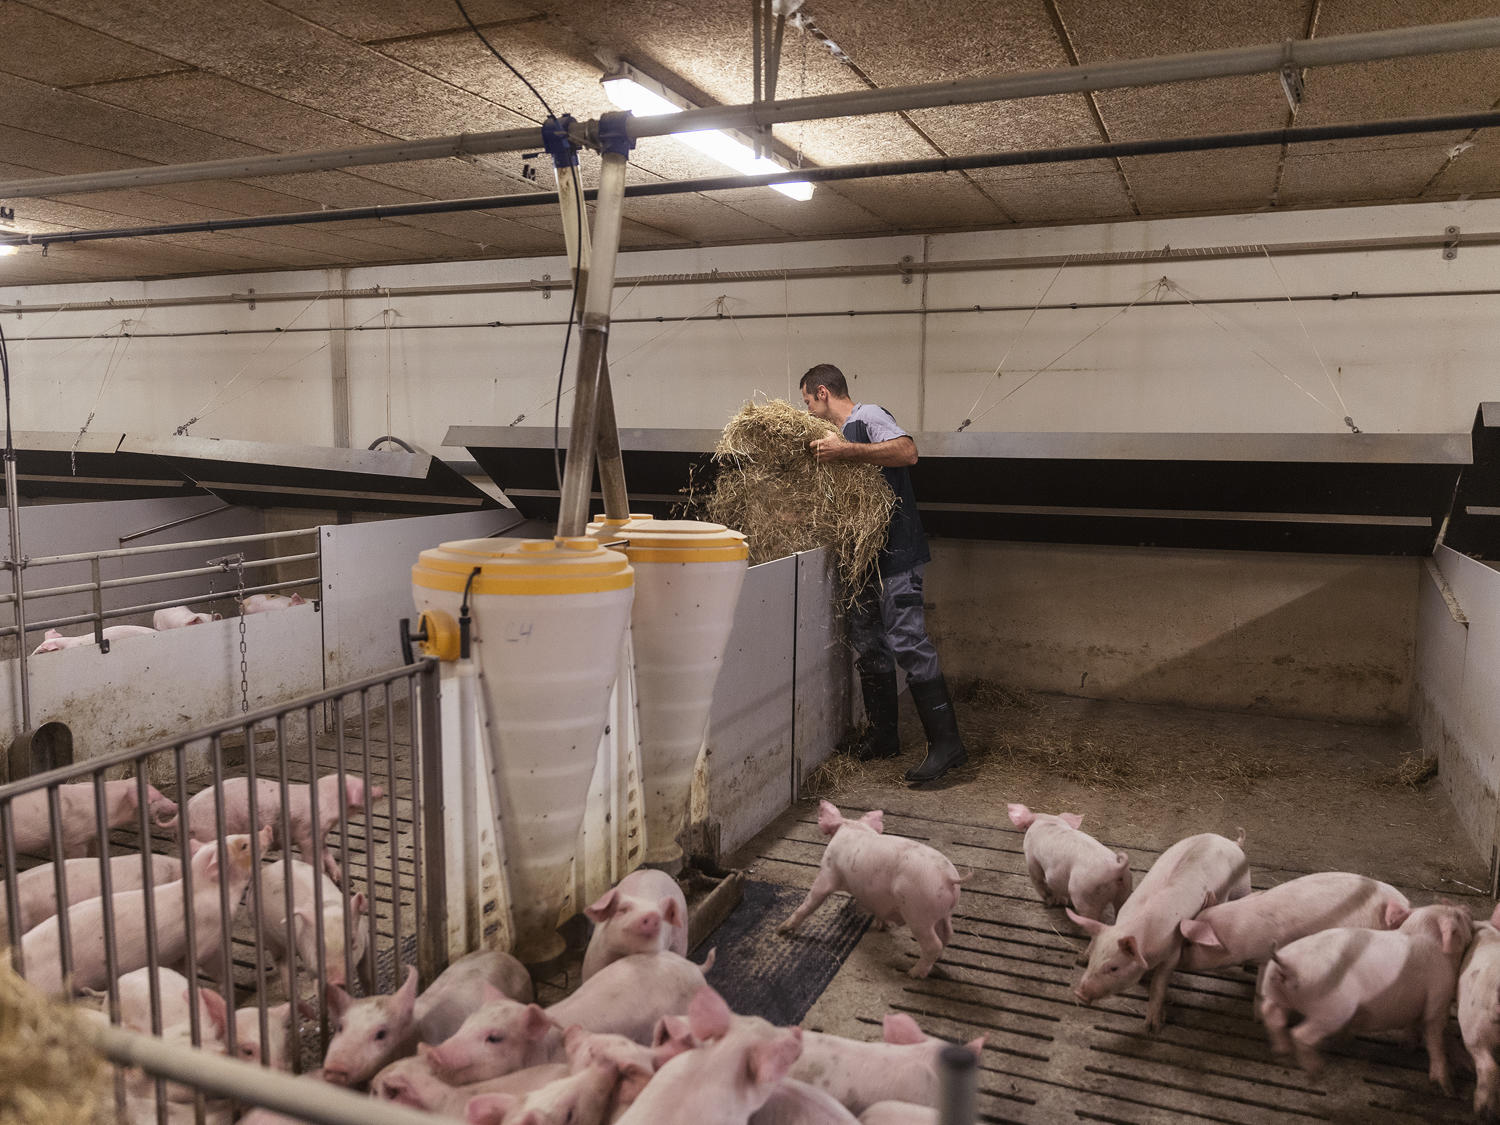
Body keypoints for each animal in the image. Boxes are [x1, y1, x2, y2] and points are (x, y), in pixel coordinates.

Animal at [185, 773, 383, 885]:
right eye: (362, 786)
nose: (380, 789)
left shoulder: (320, 834)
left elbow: (328, 855)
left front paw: (347, 882)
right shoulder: (307, 833)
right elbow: (314, 858)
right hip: (207, 832)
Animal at [257, 857, 368, 991]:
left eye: (352, 941)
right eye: (318, 946)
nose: (336, 981)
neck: (328, 908)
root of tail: (267, 868)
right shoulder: (307, 956)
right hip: (269, 938)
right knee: (281, 961)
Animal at [778, 801, 965, 979]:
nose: (780, 931)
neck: (853, 827)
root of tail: (948, 878)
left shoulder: (828, 873)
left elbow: (811, 901)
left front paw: (782, 929)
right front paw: (881, 926)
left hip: (919, 913)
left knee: (933, 944)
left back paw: (913, 973)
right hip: (942, 913)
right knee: (948, 934)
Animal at [1068, 830, 1250, 1032]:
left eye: (1114, 967)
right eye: (1093, 961)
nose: (1079, 993)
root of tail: (1231, 842)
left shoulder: (1172, 953)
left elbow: (1159, 985)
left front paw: (1152, 1027)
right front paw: (1082, 959)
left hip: (1243, 884)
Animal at [1257, 901, 1474, 1093]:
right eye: (1457, 917)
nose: (1466, 908)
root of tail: (1286, 964)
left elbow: (1413, 1025)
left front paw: (1406, 1047)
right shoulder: (1439, 997)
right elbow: (1435, 1037)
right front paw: (1448, 1089)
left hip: (1274, 989)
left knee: (1271, 1014)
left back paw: (1281, 1052)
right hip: (1332, 1009)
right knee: (1300, 1034)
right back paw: (1316, 1070)